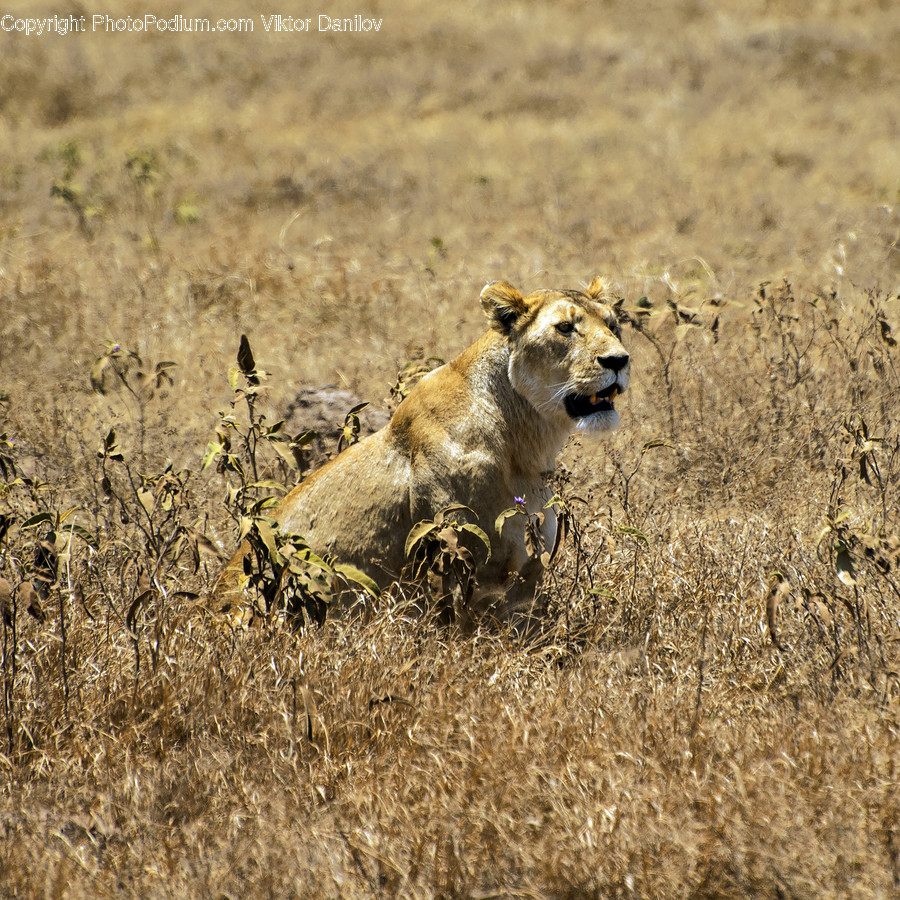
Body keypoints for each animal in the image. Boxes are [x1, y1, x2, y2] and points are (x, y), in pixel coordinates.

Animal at [214, 276, 630, 629]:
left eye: (614, 325)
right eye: (565, 328)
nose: (619, 361)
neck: (526, 438)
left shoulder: (527, 578)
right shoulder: (458, 567)